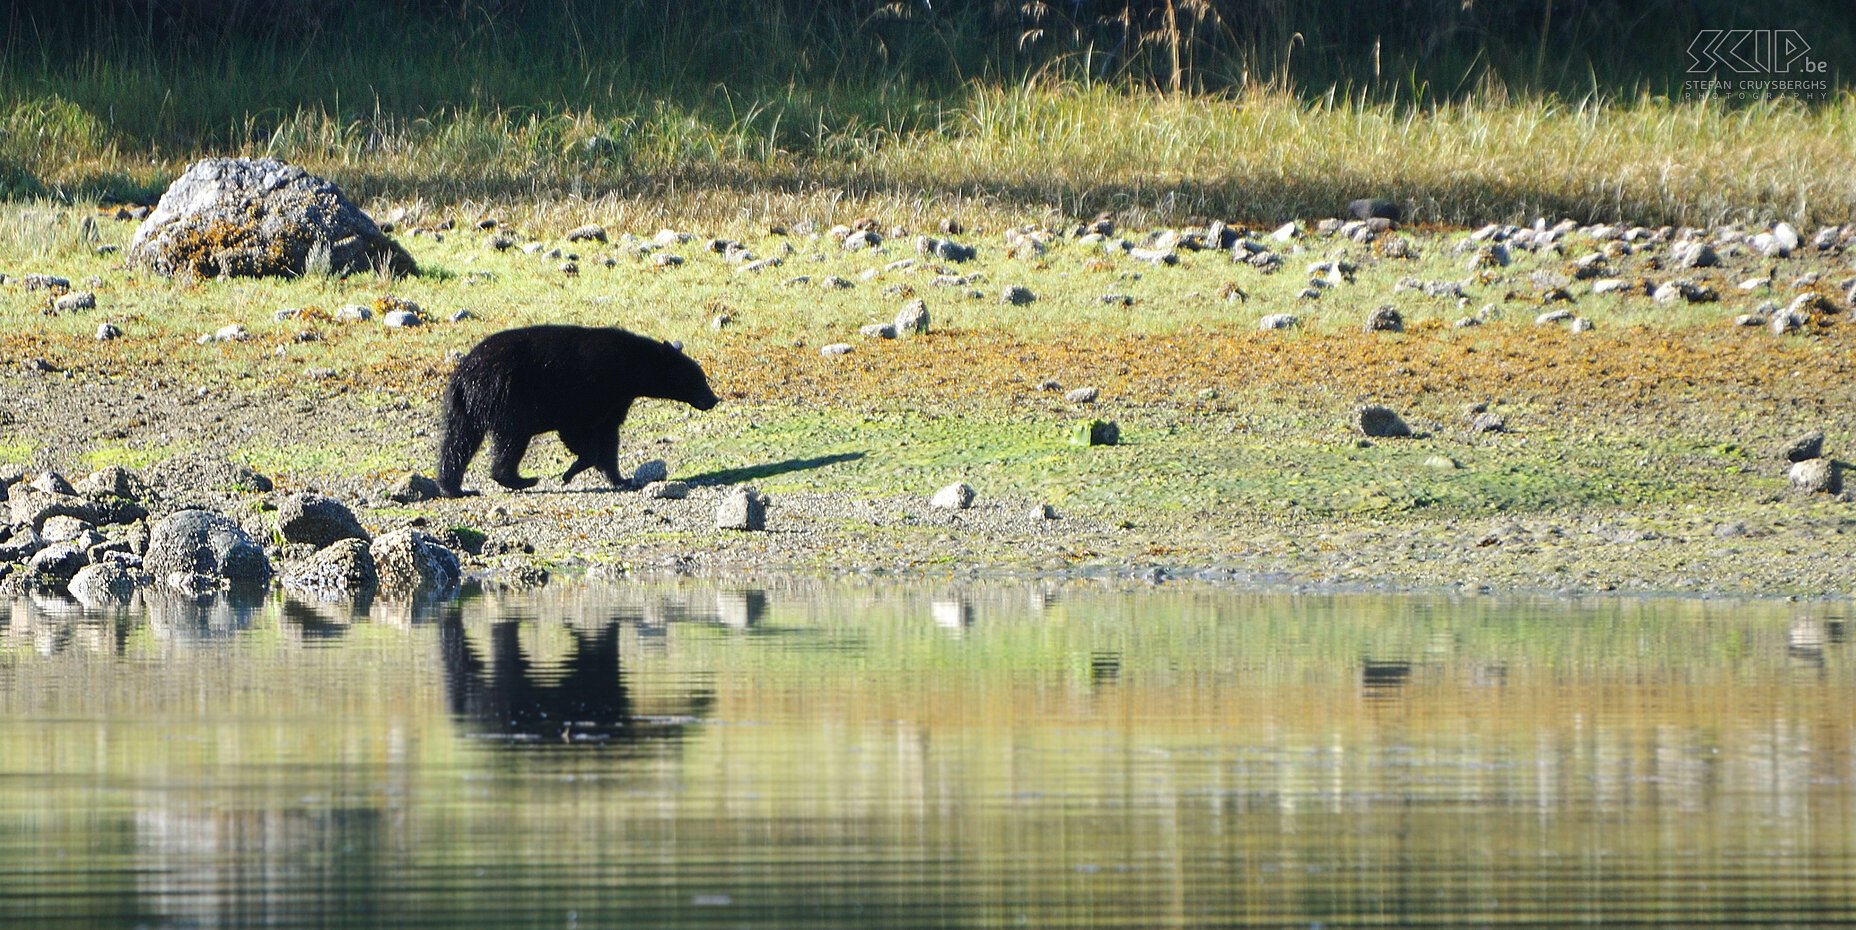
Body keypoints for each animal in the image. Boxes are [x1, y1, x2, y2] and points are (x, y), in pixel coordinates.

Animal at [438, 324, 720, 497]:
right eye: (698, 379)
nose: (714, 399)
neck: (631, 367)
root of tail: (463, 375)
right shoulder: (589, 390)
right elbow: (579, 431)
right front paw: (572, 471)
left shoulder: (617, 399)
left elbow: (608, 435)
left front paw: (620, 478)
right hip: (507, 395)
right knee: (511, 438)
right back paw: (521, 479)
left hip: (464, 405)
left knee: (458, 442)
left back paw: (454, 488)